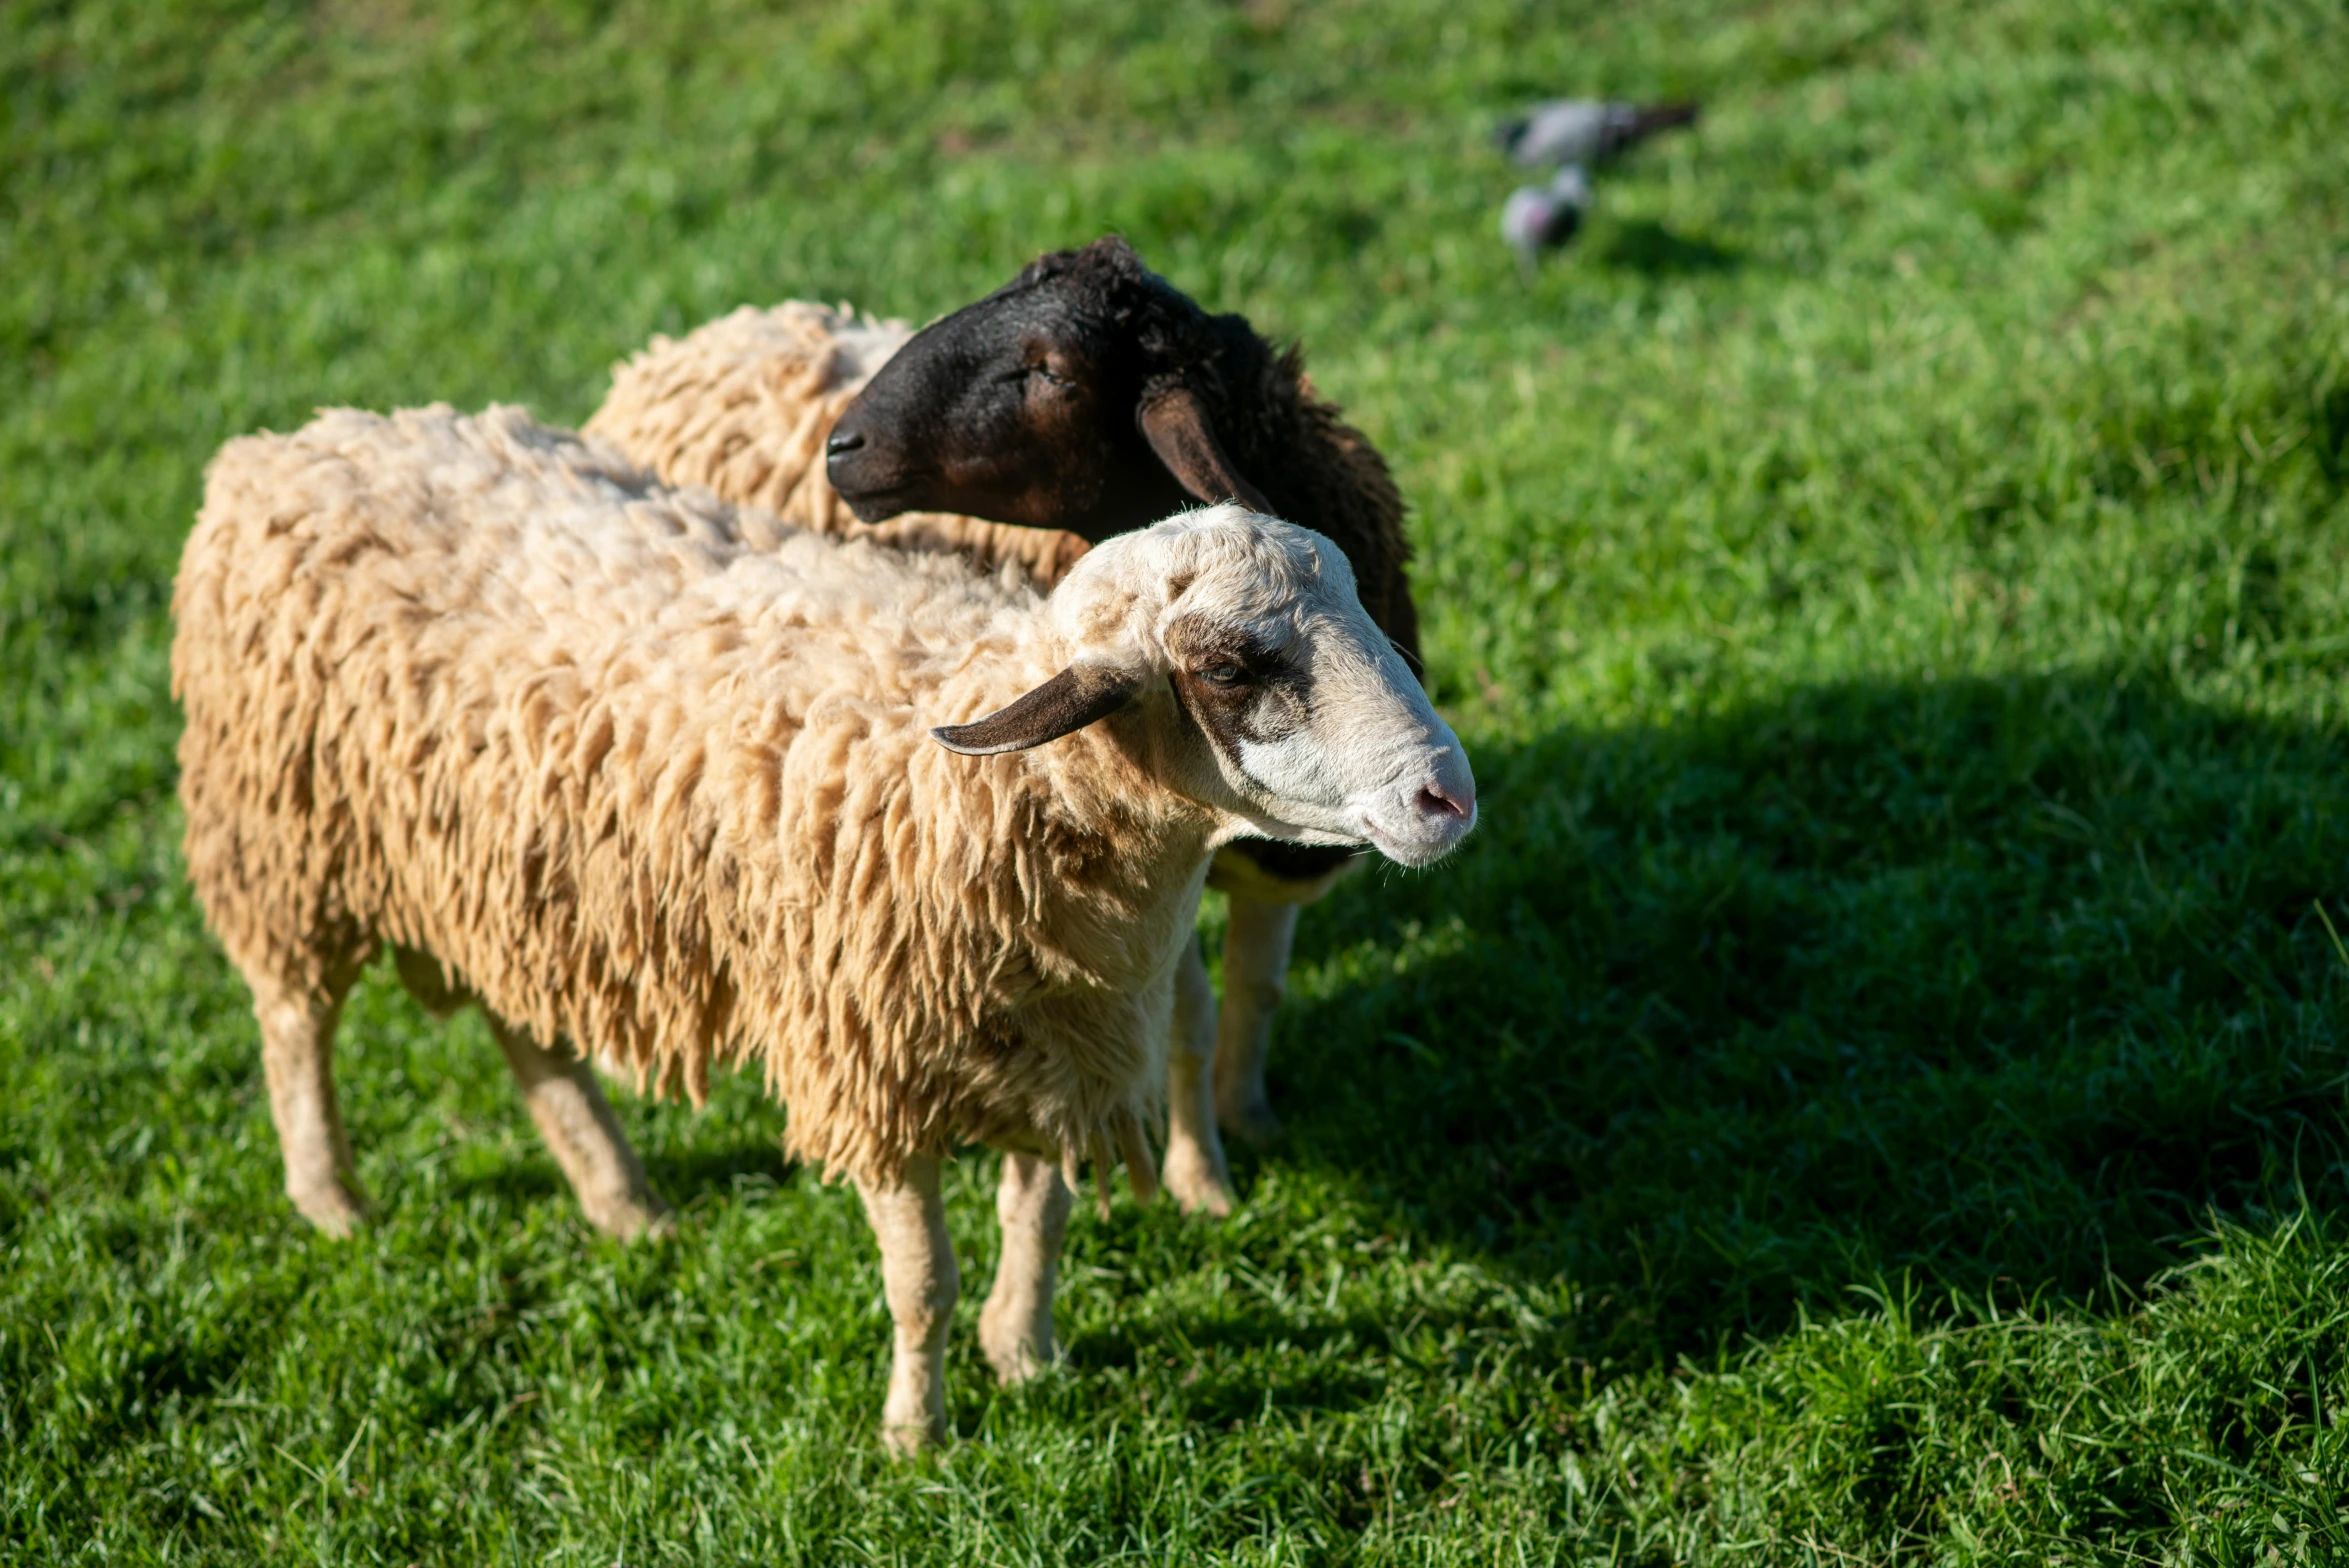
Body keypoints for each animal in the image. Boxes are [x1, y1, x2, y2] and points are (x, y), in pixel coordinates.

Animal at [173, 401, 1475, 1445]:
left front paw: (1026, 1353)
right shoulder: (872, 1065)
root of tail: (287, 444)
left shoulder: (1066, 1044)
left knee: (529, 1032)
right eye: (1233, 667)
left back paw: (624, 1203)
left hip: (511, 871)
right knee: (295, 1019)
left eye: (1354, 592)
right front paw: (918, 1429)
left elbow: (1041, 1215)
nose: (1446, 794)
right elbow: (921, 1278)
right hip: (285, 836)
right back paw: (332, 1199)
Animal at [596, 232, 1418, 1220]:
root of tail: (697, 335)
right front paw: (1202, 1180)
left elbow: (1256, 990)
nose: (843, 447)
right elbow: (1189, 1017)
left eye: (1051, 370)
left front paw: (1247, 1120)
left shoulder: (1272, 859)